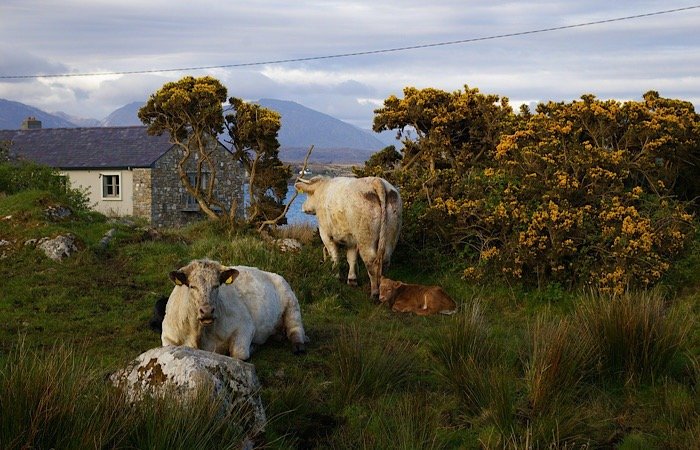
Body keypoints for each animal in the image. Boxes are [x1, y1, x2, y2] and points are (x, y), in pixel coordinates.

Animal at [164, 258, 308, 360]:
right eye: (192, 286)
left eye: (217, 285)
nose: (207, 311)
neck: (198, 335)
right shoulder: (168, 337)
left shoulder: (245, 325)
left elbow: (239, 354)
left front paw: (251, 348)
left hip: (291, 303)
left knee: (295, 328)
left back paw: (298, 345)